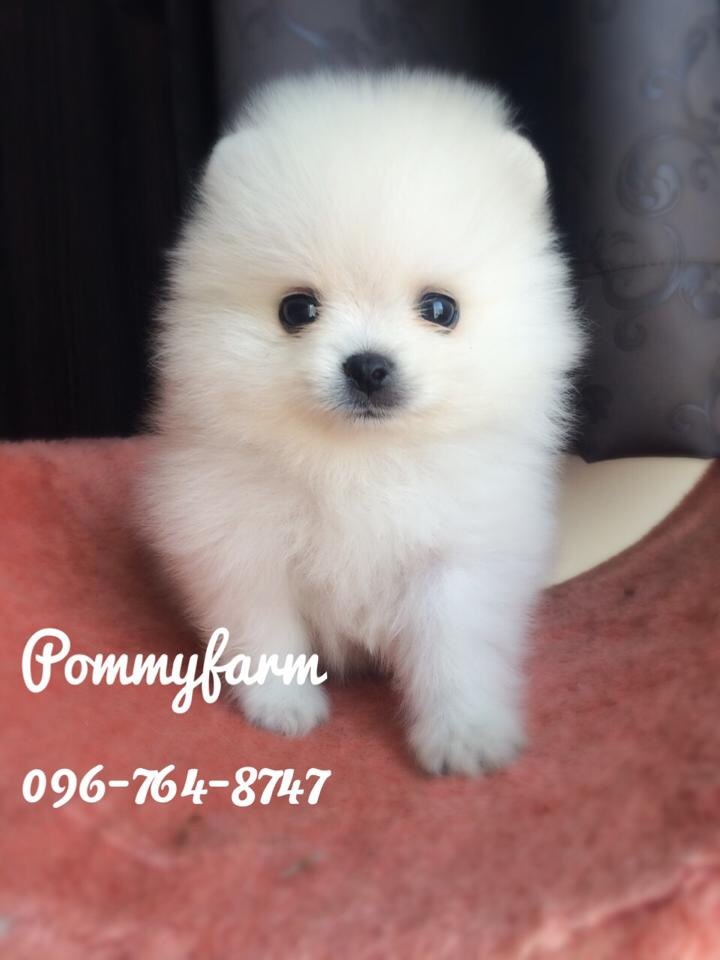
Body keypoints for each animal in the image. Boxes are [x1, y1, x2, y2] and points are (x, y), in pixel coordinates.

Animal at [140, 70, 582, 775]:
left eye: (440, 308)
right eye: (297, 309)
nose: (368, 366)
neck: (358, 460)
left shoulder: (459, 555)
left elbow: (454, 649)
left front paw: (465, 737)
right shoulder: (239, 539)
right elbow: (265, 630)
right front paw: (285, 707)